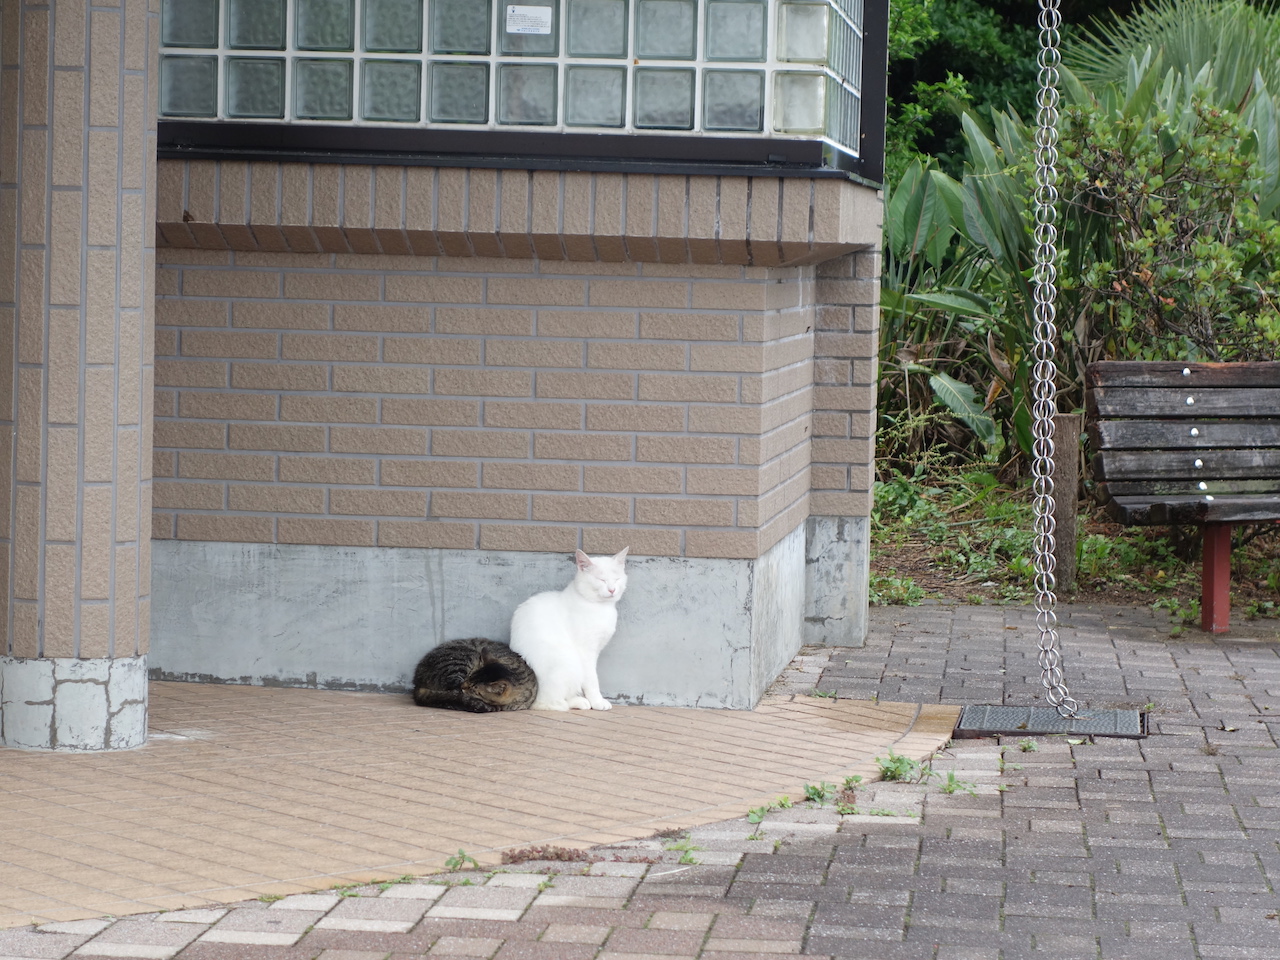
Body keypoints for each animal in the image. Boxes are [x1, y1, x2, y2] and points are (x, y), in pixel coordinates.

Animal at [509, 547, 629, 716]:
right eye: (601, 580)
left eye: (617, 579)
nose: (612, 589)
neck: (600, 607)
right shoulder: (586, 652)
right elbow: (592, 680)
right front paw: (597, 702)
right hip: (568, 660)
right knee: (549, 703)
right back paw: (579, 702)